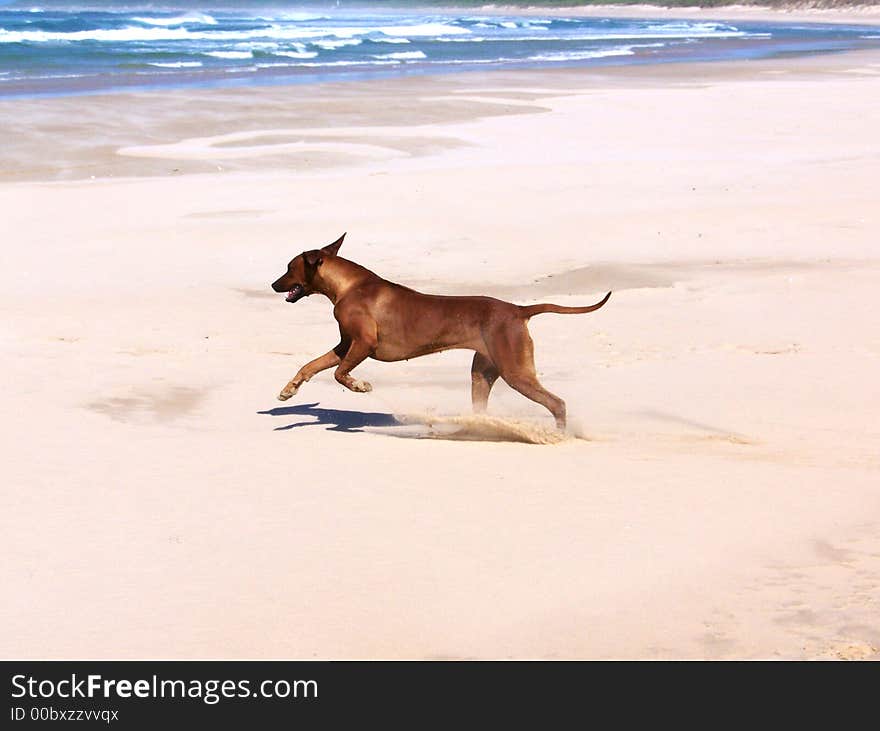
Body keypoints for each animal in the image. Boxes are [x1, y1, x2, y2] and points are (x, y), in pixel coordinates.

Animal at [270, 234, 612, 428]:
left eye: (288, 268)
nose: (272, 284)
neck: (348, 286)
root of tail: (518, 310)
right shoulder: (346, 344)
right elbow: (311, 365)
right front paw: (290, 389)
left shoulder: (364, 343)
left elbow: (340, 373)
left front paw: (359, 386)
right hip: (483, 371)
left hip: (515, 370)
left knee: (557, 404)